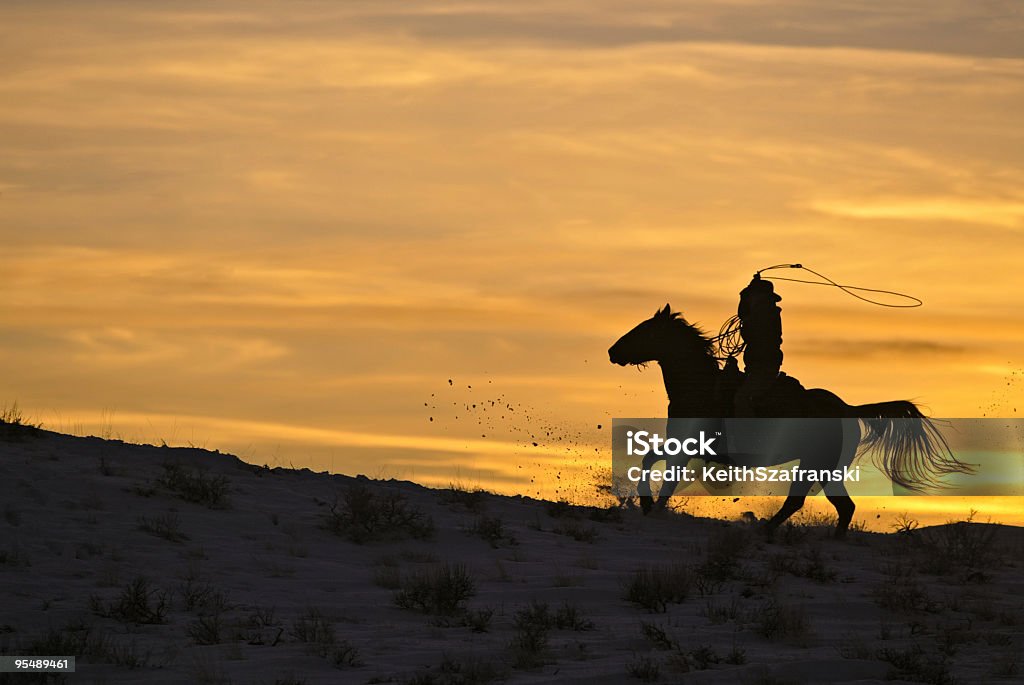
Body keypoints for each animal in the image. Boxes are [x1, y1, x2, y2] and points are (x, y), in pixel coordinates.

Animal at [610, 303, 970, 532]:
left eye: (645, 331)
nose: (613, 352)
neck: (698, 388)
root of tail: (847, 410)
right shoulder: (681, 447)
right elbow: (650, 461)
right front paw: (647, 505)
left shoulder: (685, 448)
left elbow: (660, 473)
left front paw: (652, 509)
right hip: (828, 470)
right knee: (843, 507)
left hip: (815, 465)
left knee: (800, 501)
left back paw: (766, 530)